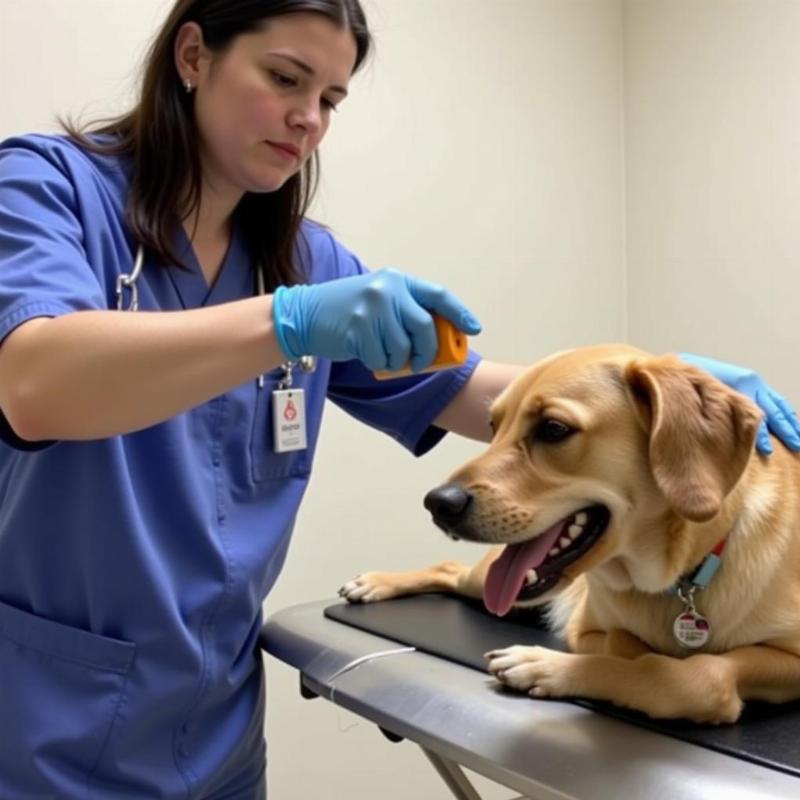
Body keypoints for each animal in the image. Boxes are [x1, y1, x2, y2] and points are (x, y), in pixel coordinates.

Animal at [336, 344, 800, 724]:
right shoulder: (588, 629)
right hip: (482, 581)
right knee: (449, 568)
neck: (678, 577)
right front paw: (550, 662)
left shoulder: (788, 658)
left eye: (554, 428)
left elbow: (691, 674)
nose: (438, 503)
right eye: (492, 426)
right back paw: (375, 582)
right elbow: (627, 646)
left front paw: (546, 665)